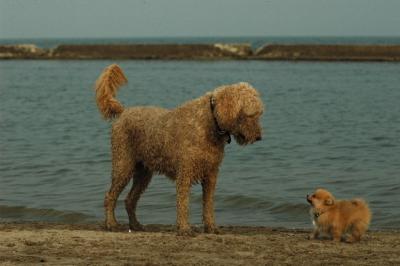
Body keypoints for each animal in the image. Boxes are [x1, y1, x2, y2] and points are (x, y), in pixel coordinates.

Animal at [95, 64, 266, 235]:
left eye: (259, 114)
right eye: (250, 114)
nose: (259, 137)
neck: (209, 122)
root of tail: (123, 111)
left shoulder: (211, 174)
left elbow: (208, 204)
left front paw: (211, 227)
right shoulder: (185, 172)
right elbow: (183, 203)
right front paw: (184, 228)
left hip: (143, 173)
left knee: (130, 199)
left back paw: (136, 225)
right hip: (123, 165)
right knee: (110, 196)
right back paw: (111, 223)